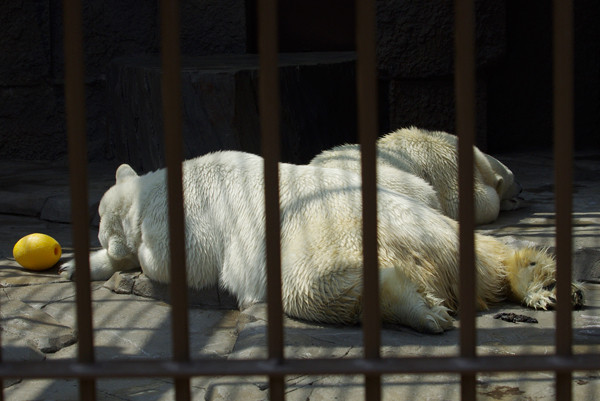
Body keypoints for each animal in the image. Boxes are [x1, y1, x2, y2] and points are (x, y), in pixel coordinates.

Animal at [59, 151, 582, 333]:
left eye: (98, 218)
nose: (98, 231)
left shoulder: (188, 221)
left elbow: (175, 261)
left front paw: (94, 260)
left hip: (320, 239)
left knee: (312, 286)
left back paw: (419, 309)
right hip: (438, 228)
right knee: (490, 251)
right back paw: (543, 283)